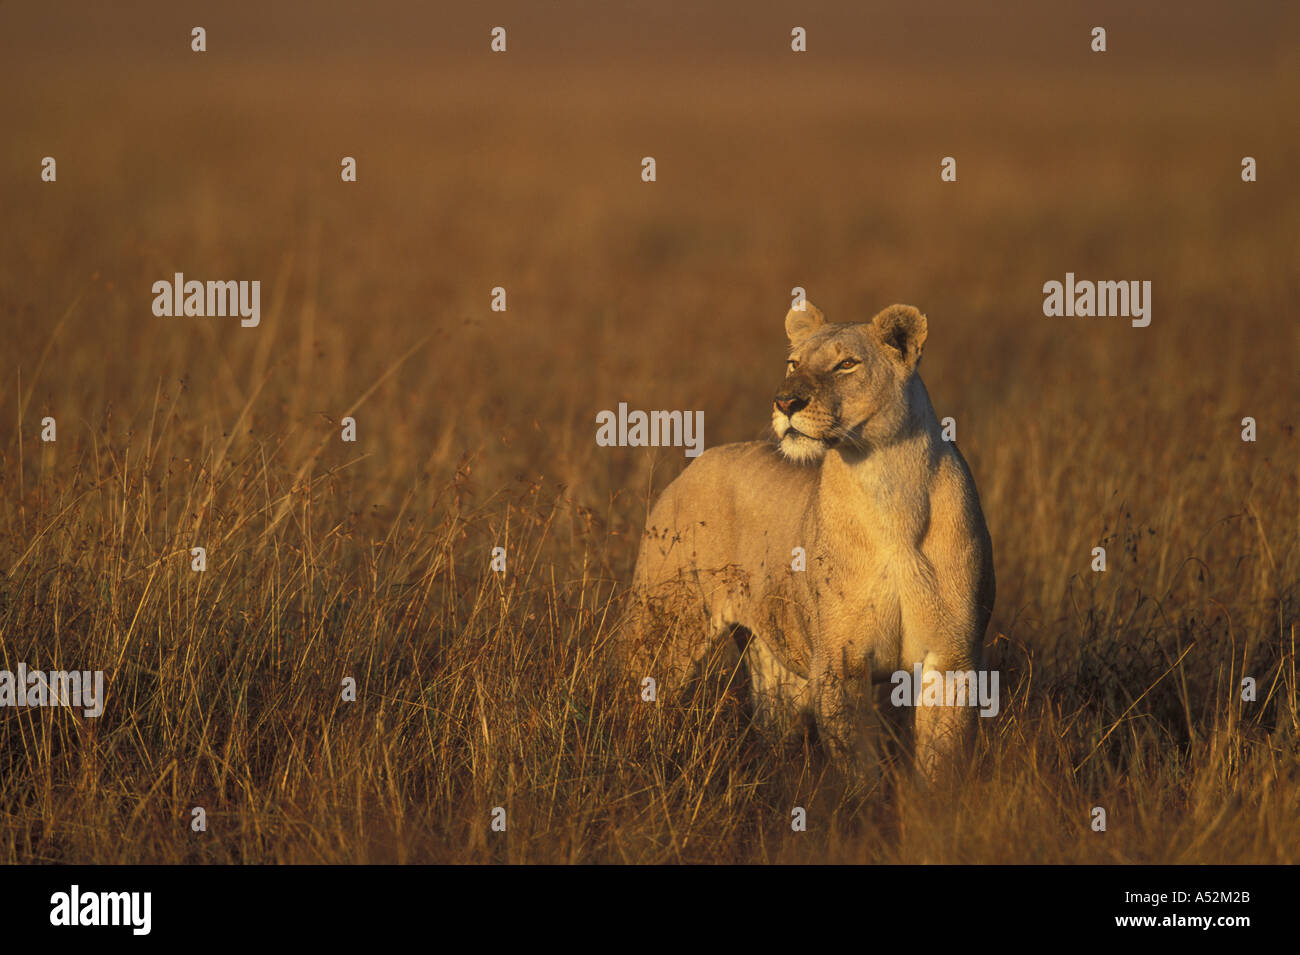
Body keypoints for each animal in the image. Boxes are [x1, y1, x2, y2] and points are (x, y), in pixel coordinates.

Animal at [618, 301, 995, 780]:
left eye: (846, 364)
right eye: (793, 363)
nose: (785, 402)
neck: (888, 486)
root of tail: (696, 463)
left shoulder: (952, 659)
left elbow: (941, 760)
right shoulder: (839, 661)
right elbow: (858, 765)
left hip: (777, 669)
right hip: (666, 631)